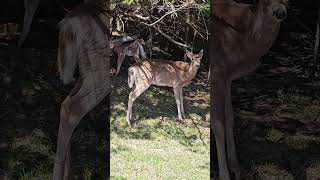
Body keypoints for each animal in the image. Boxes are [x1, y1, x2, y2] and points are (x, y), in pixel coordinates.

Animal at [211, 0, 288, 180]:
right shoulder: (216, 72)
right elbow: (218, 124)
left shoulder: (227, 78)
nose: (280, 12)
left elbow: (229, 118)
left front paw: (236, 168)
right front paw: (225, 175)